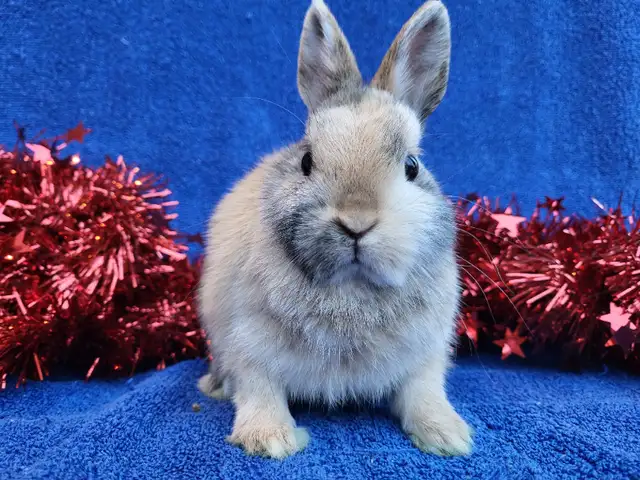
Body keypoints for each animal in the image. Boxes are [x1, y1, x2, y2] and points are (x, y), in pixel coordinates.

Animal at [197, 0, 472, 459]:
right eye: (307, 161)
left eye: (411, 166)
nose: (357, 223)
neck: (352, 289)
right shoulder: (247, 344)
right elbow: (259, 389)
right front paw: (269, 439)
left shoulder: (425, 353)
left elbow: (423, 391)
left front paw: (448, 436)